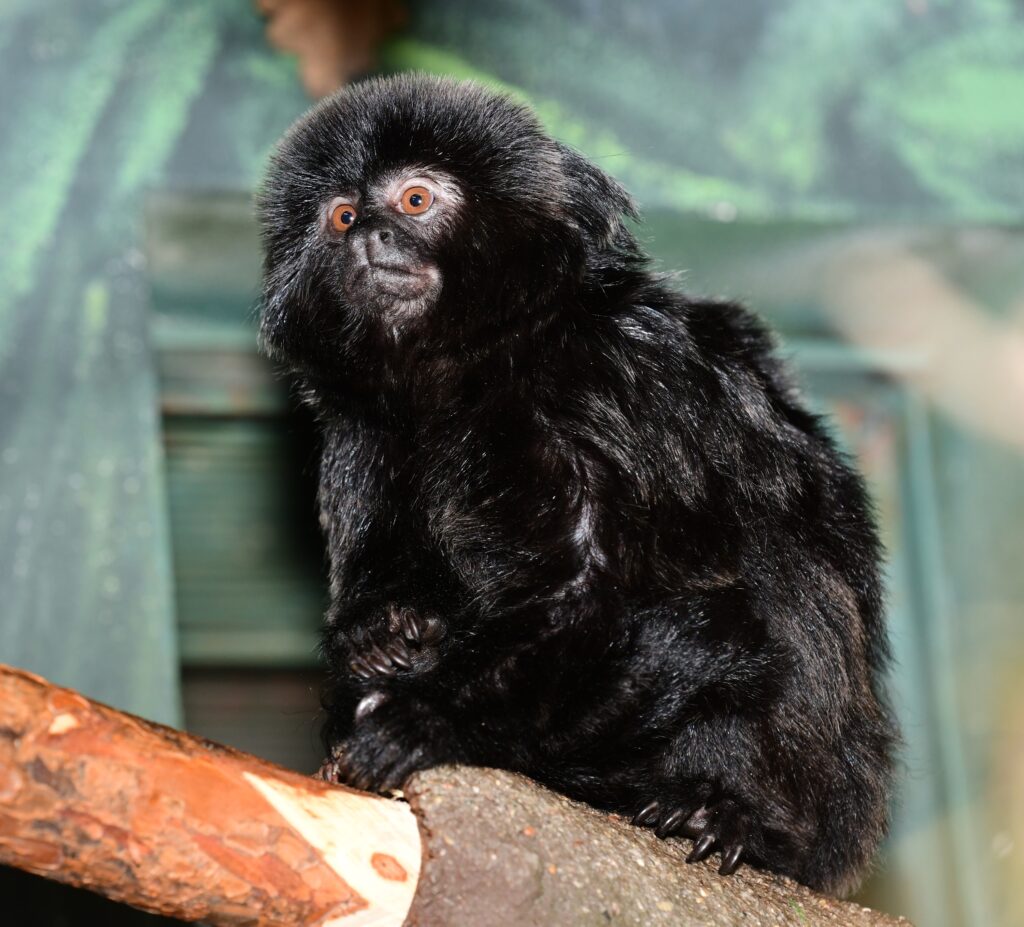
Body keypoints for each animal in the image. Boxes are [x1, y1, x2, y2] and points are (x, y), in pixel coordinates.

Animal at [257, 74, 896, 895]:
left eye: (415, 201)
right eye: (341, 217)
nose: (372, 239)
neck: (473, 369)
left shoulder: (603, 382)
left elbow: (591, 594)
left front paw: (428, 720)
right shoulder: (357, 436)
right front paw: (382, 640)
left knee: (785, 580)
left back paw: (732, 812)